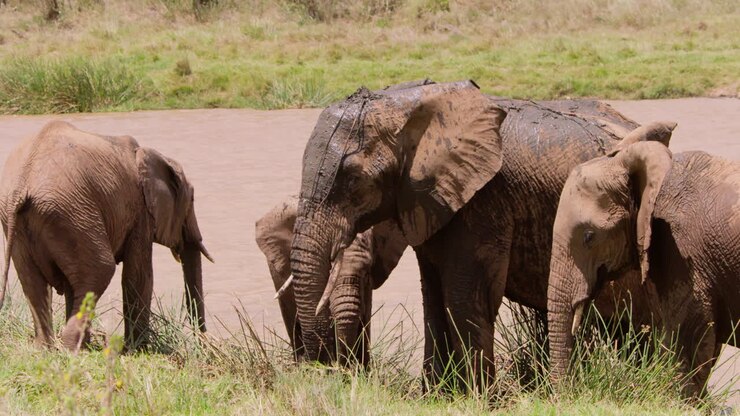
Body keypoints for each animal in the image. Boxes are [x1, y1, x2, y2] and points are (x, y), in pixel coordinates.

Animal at [0, 121, 212, 350]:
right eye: (192, 199)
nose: (203, 344)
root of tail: (22, 182)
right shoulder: (140, 211)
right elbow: (138, 276)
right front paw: (138, 350)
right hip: (70, 213)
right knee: (101, 269)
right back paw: (72, 349)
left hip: (31, 221)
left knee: (33, 282)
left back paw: (49, 348)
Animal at [288, 79, 672, 387]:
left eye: (353, 178)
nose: (326, 371)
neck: (415, 101)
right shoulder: (428, 199)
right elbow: (434, 299)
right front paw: (437, 397)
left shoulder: (485, 198)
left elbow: (465, 295)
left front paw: (479, 399)